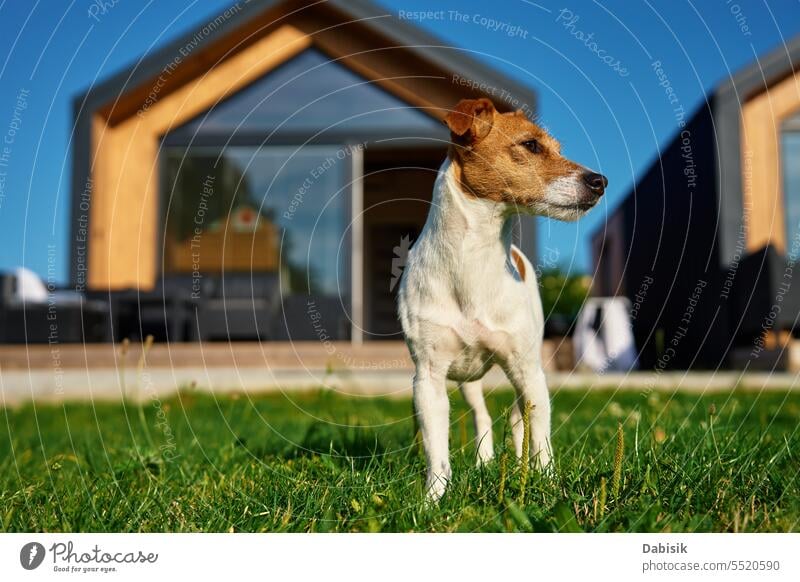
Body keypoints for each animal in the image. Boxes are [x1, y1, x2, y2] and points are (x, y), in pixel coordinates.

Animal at [396, 97, 604, 502]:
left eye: (558, 148)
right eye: (531, 145)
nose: (600, 181)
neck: (474, 260)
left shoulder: (528, 370)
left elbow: (540, 438)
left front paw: (547, 483)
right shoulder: (428, 378)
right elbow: (436, 448)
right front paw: (433, 499)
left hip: (525, 367)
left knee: (519, 416)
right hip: (466, 379)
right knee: (483, 417)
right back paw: (485, 462)